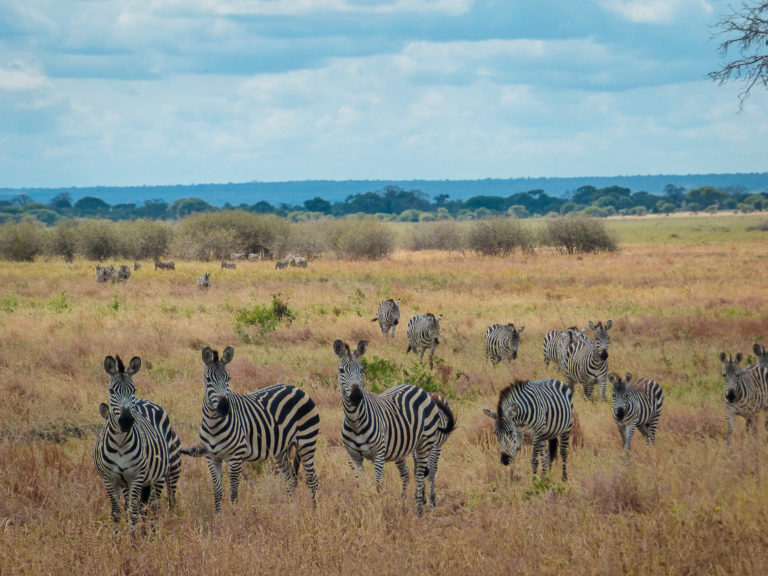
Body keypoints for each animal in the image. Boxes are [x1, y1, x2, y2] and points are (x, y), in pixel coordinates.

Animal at [93, 356, 182, 532]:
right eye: (111, 391)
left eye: (133, 389)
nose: (127, 420)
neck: (120, 444)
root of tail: (146, 401)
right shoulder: (109, 479)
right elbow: (117, 512)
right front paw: (117, 538)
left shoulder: (136, 477)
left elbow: (133, 512)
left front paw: (132, 538)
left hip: (158, 476)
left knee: (153, 506)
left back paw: (152, 533)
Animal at [182, 346, 320, 512]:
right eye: (208, 379)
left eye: (228, 379)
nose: (224, 408)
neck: (214, 424)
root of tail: (297, 389)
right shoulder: (211, 458)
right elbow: (217, 492)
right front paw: (218, 516)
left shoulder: (235, 457)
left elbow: (233, 493)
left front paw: (234, 517)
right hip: (281, 450)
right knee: (291, 480)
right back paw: (291, 511)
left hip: (307, 443)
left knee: (312, 480)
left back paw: (314, 511)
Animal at [334, 338, 456, 512]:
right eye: (341, 370)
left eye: (361, 370)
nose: (357, 396)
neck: (355, 421)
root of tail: (417, 387)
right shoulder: (354, 456)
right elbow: (360, 485)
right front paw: (362, 506)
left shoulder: (378, 455)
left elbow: (378, 486)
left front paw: (377, 509)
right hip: (402, 448)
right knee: (407, 473)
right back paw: (404, 506)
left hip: (426, 443)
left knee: (423, 473)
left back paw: (421, 507)